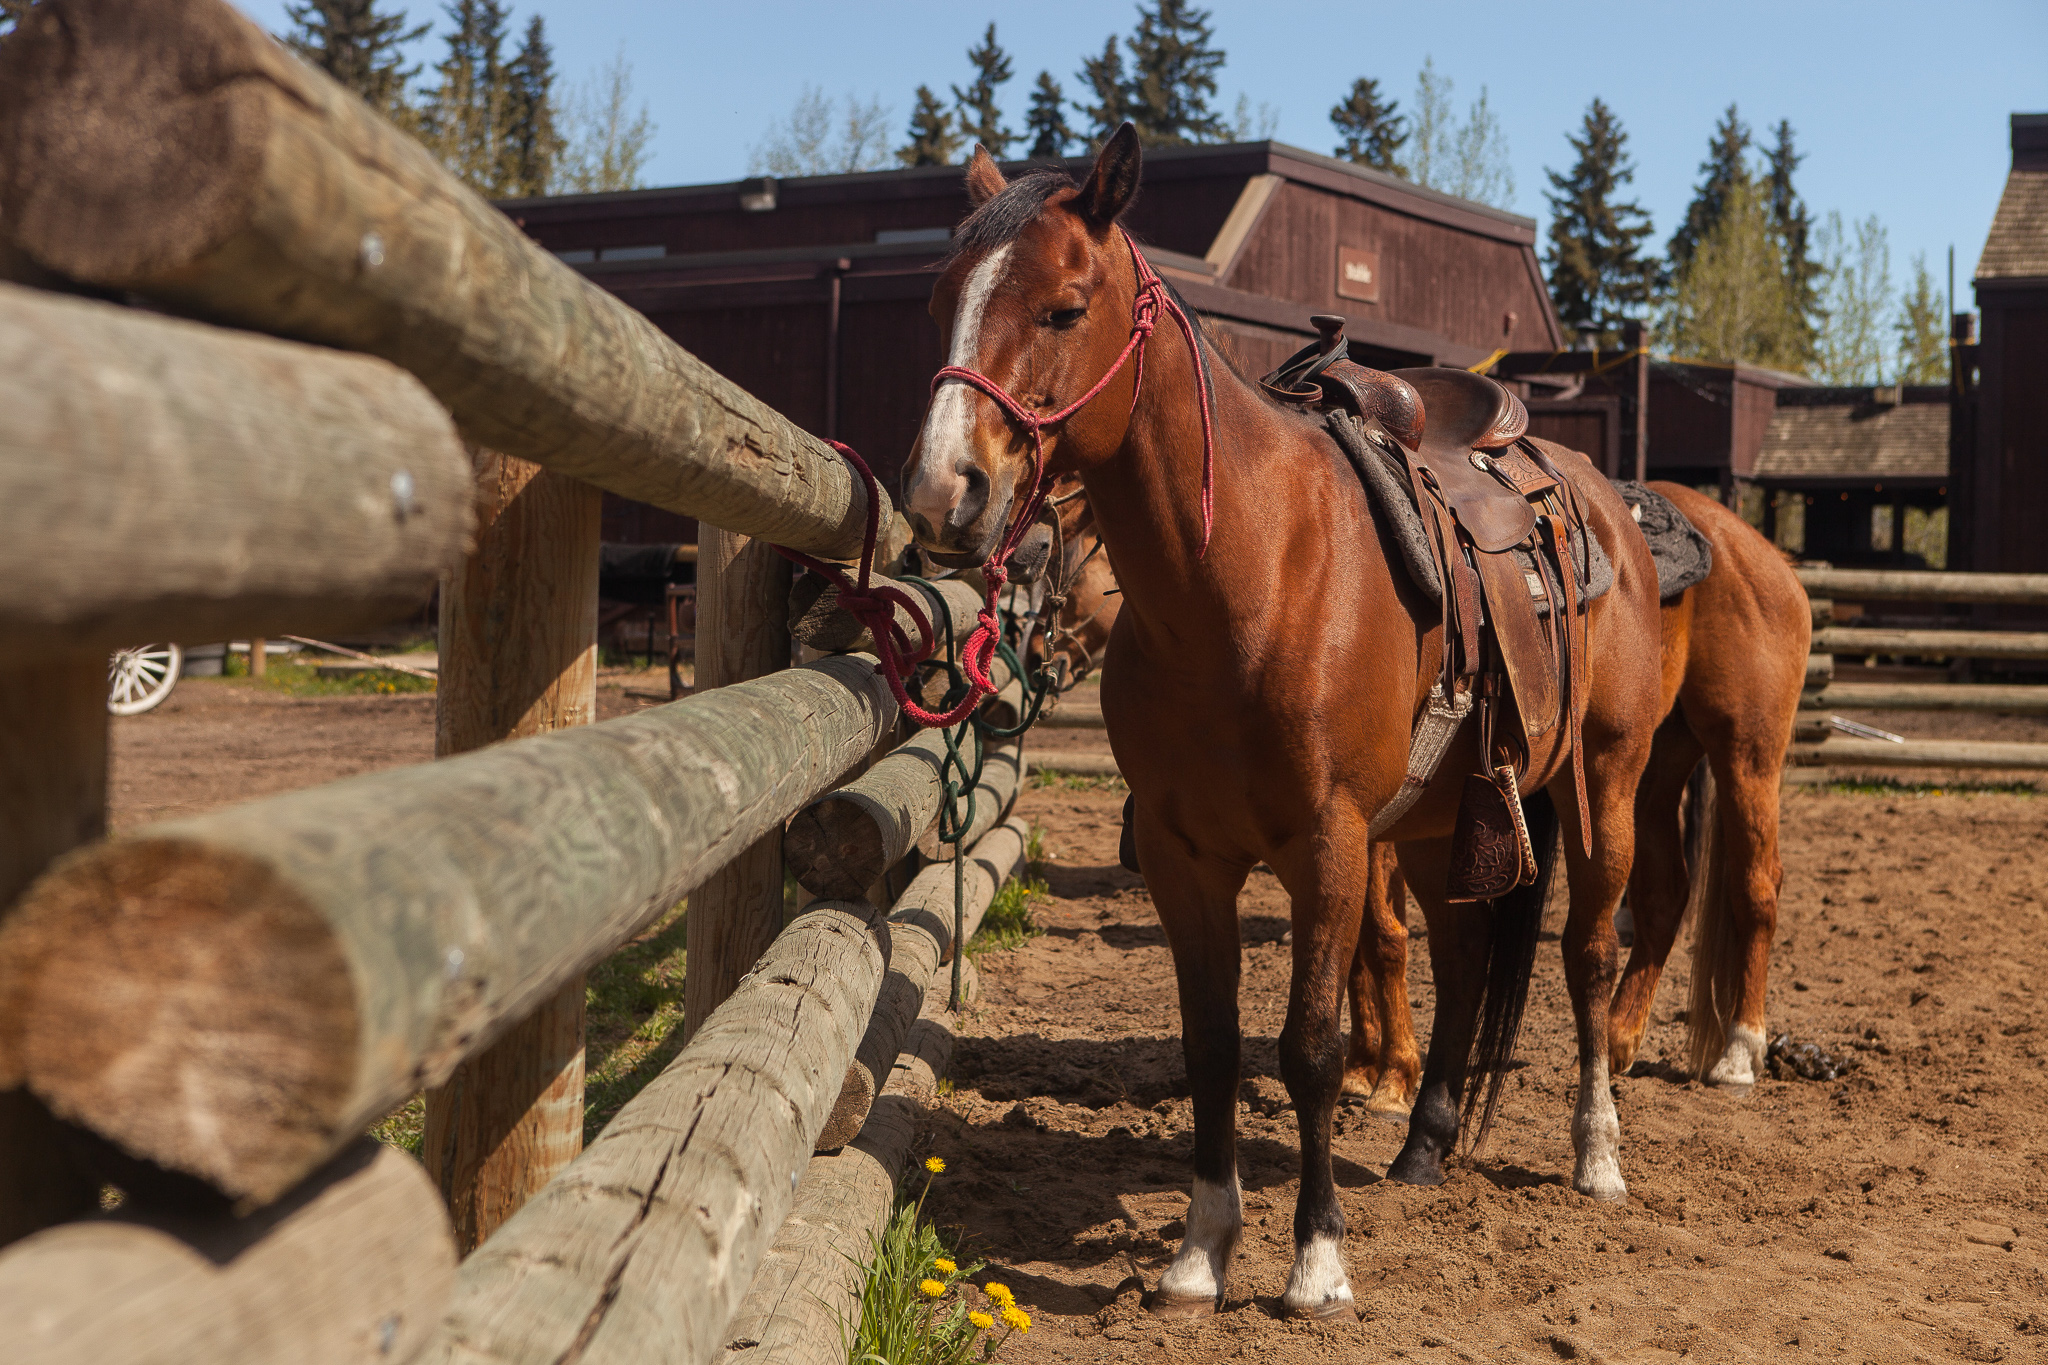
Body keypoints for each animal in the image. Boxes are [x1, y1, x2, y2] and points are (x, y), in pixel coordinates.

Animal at [905, 130, 1671, 1326]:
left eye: (1064, 309)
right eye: (942, 299)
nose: (946, 494)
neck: (1250, 577)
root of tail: (1600, 501)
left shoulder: (1328, 843)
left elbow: (1308, 1046)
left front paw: (1316, 1261)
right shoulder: (1184, 854)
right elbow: (1212, 1046)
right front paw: (1199, 1250)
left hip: (1604, 784)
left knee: (1588, 954)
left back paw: (1595, 1152)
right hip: (1440, 822)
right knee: (1463, 961)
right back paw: (1424, 1143)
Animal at [1343, 485, 1810, 1113]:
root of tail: (1761, 554)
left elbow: (1383, 937)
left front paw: (1394, 1073)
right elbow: (1361, 939)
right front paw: (1362, 1066)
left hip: (1747, 755)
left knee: (1756, 887)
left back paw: (1740, 1050)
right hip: (1650, 768)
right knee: (1664, 895)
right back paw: (1618, 1038)